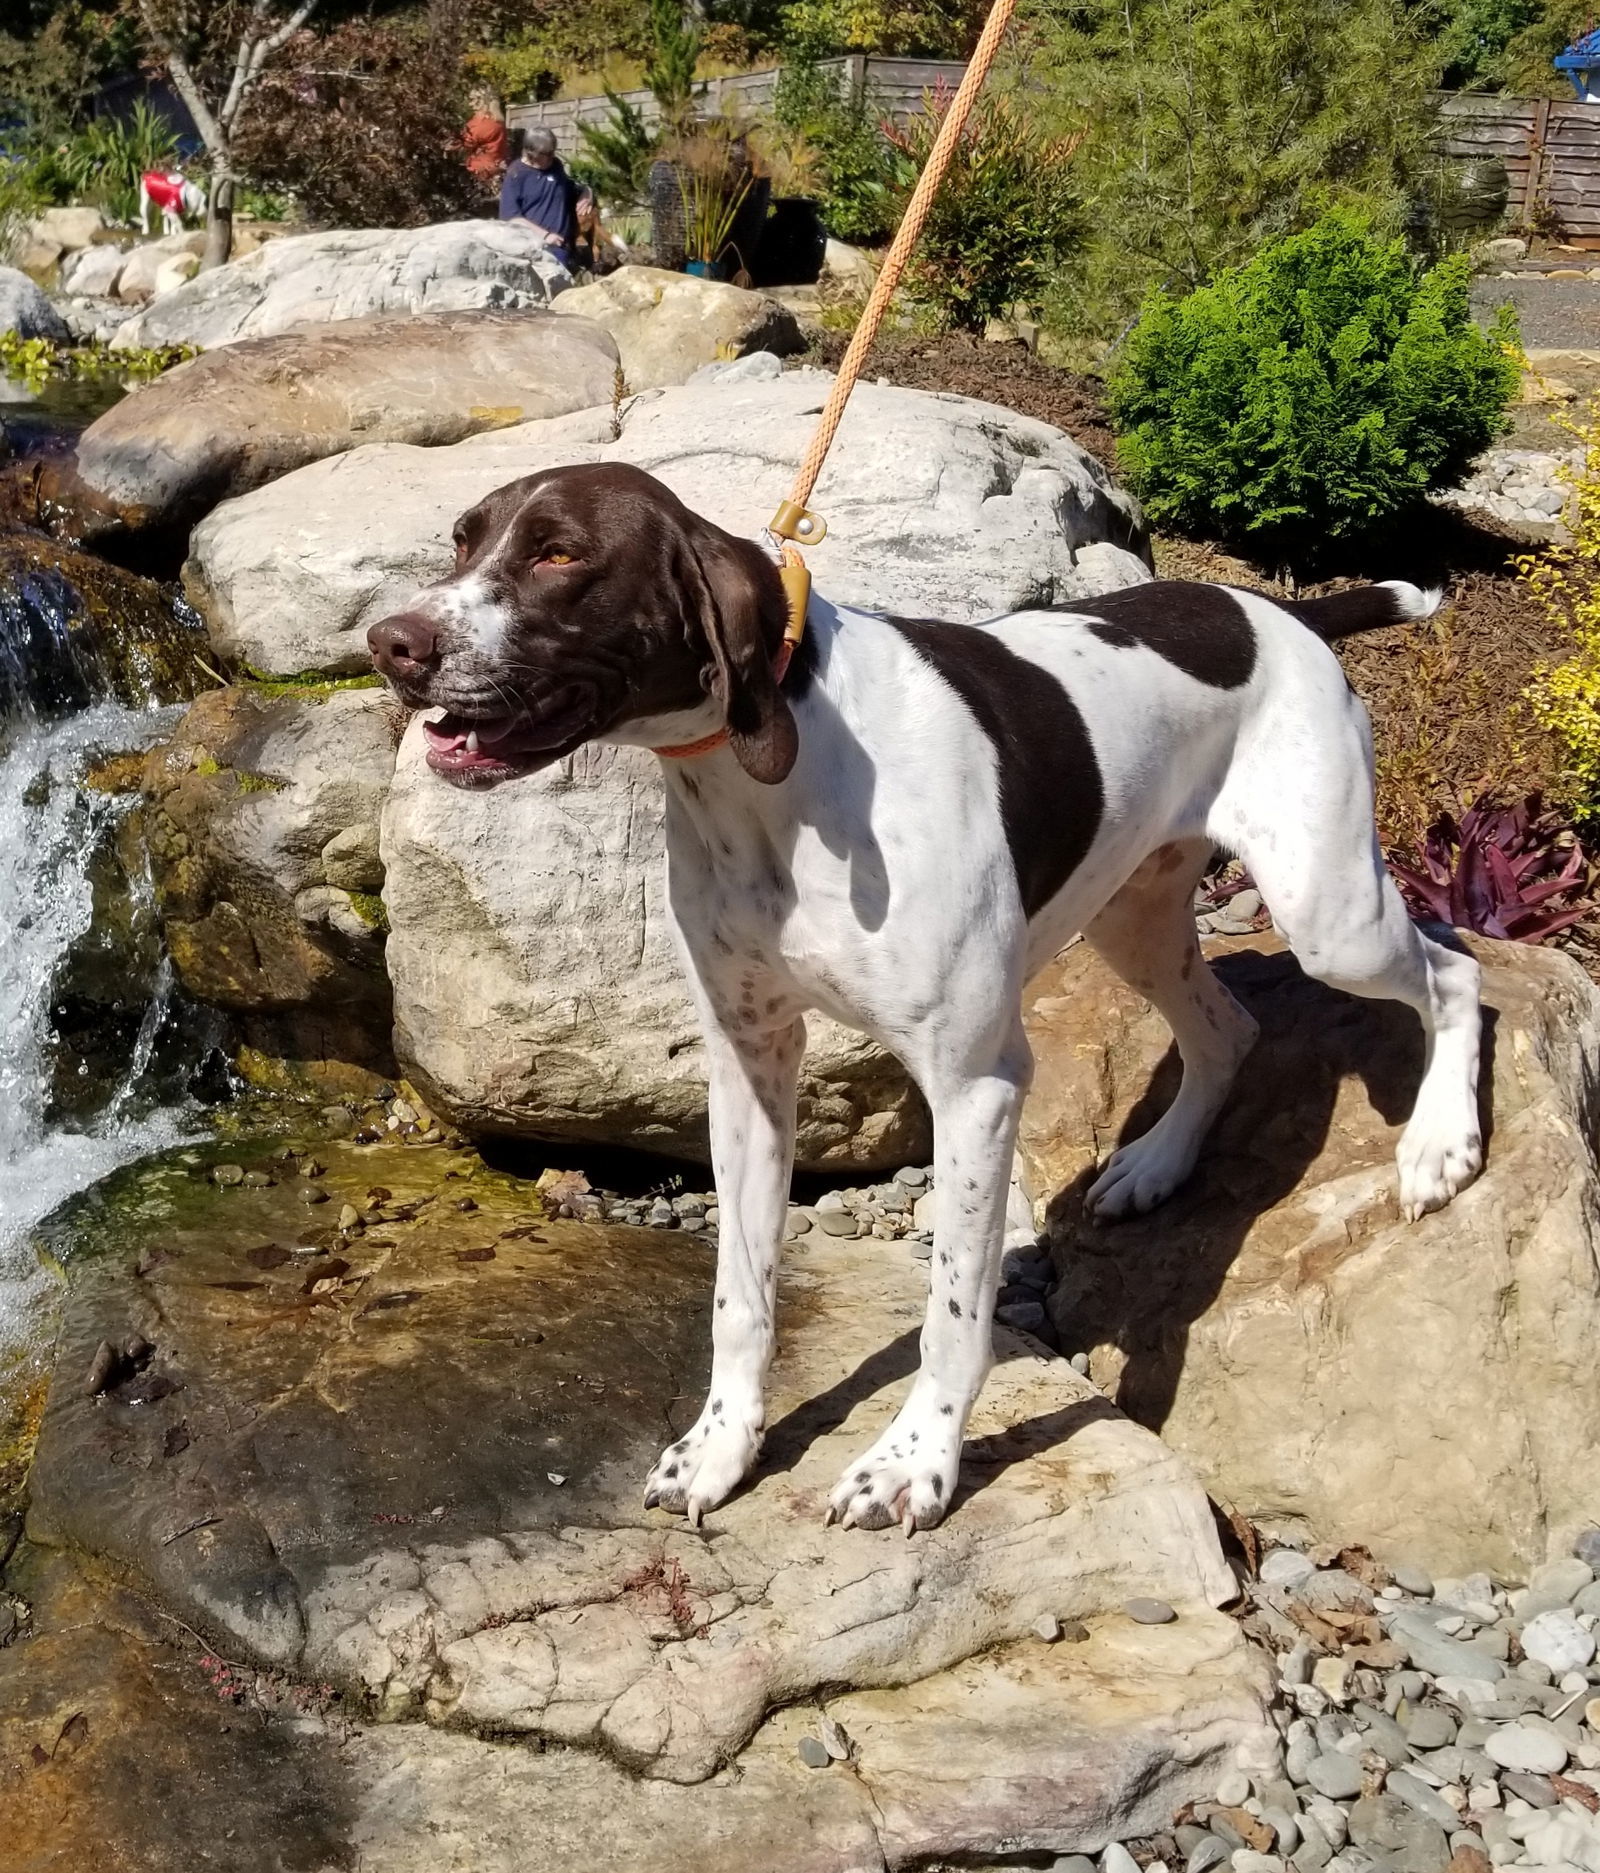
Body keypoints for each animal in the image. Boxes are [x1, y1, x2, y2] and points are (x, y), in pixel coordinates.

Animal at [367, 460, 1491, 1528]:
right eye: (463, 539)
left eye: (560, 554)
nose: (390, 643)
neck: (779, 775)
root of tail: (1279, 612)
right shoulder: (749, 1067)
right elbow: (741, 1292)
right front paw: (723, 1444)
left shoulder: (975, 1085)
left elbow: (952, 1310)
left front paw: (915, 1461)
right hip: (1132, 916)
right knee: (1229, 1028)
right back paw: (1155, 1167)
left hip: (1329, 912)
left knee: (1455, 973)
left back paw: (1438, 1144)